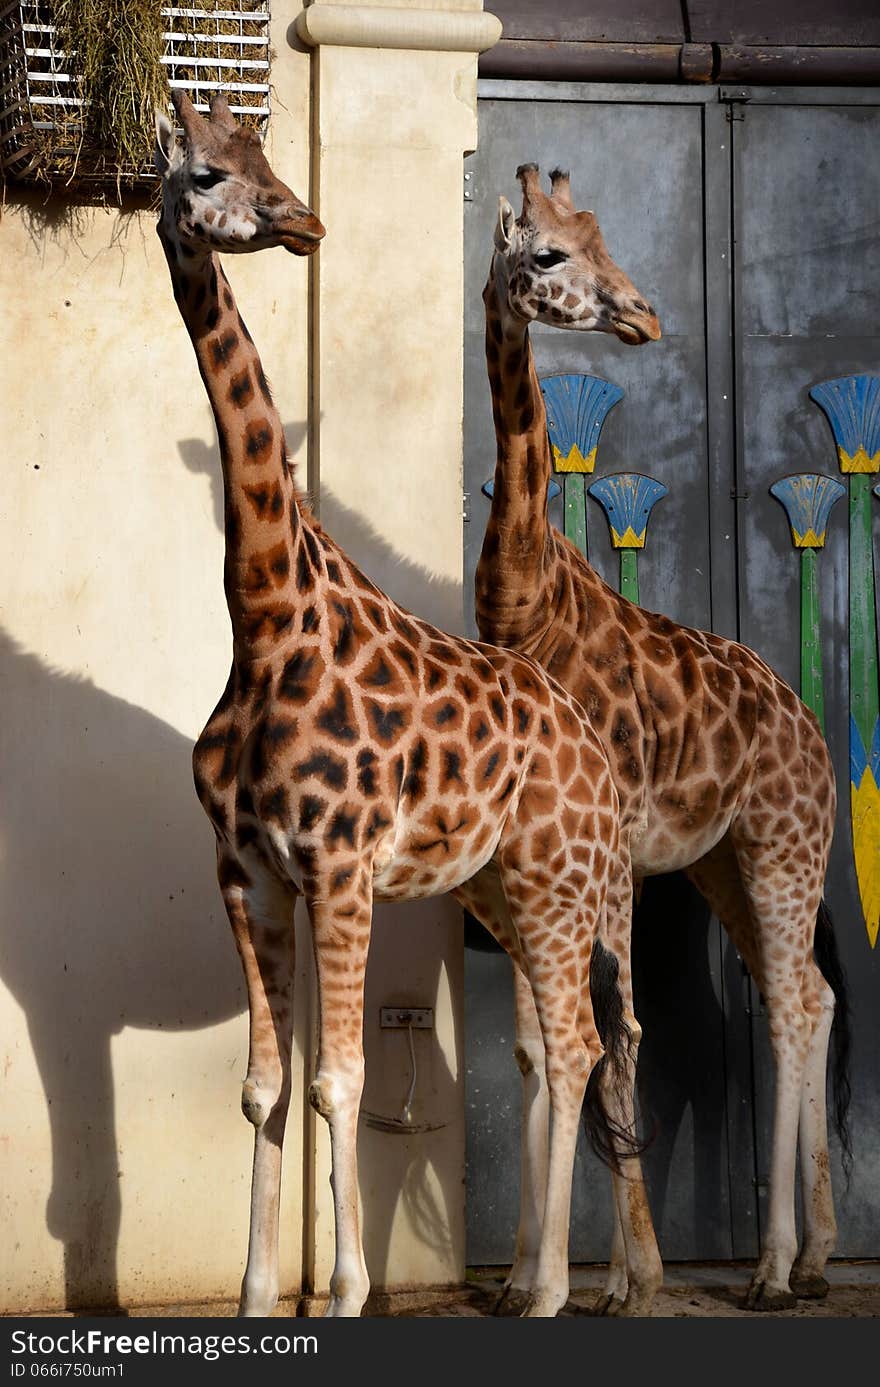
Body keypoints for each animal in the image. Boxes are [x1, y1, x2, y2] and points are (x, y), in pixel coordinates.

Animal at [154, 97, 627, 1320]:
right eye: (210, 170)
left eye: (269, 158)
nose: (304, 222)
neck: (267, 613)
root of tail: (595, 748)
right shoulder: (249, 871)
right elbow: (264, 1086)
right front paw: (257, 1297)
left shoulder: (340, 868)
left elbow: (341, 1078)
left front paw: (349, 1291)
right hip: (505, 889)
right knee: (553, 1052)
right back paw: (533, 1282)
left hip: (559, 885)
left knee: (579, 1045)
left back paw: (553, 1293)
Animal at [477, 162, 843, 1309]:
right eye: (549, 252)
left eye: (607, 240)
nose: (642, 315)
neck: (522, 602)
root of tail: (810, 724)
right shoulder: (548, 858)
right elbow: (532, 1046)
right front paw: (526, 1275)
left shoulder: (605, 857)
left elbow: (617, 1034)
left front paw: (621, 1278)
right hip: (724, 864)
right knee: (808, 993)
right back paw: (816, 1251)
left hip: (783, 849)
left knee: (786, 1008)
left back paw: (771, 1265)